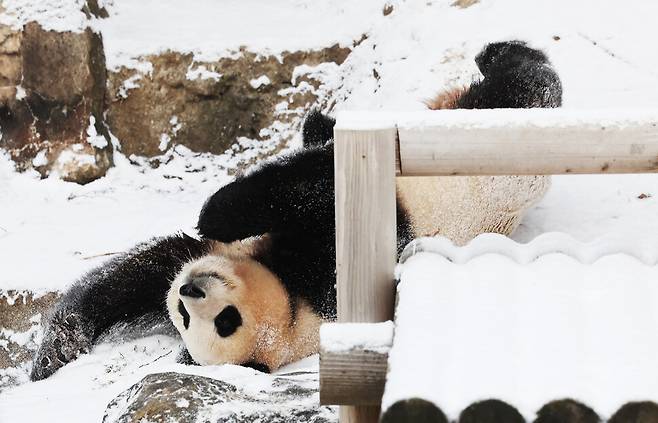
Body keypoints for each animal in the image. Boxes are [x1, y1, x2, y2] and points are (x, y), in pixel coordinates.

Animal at [29, 39, 560, 380]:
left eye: (225, 321)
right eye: (184, 315)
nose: (190, 290)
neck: (293, 308)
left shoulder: (327, 271)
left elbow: (311, 188)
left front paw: (215, 209)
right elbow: (134, 277)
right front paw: (54, 354)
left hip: (489, 143)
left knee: (526, 87)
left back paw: (495, 53)